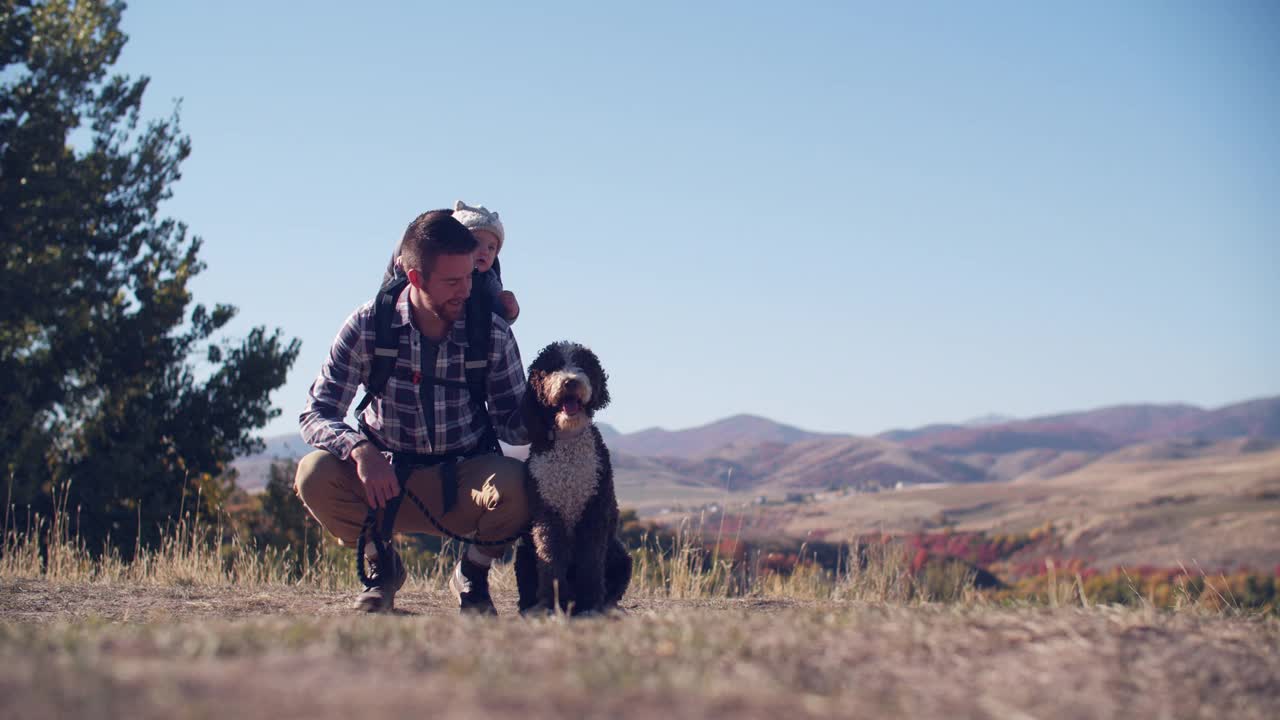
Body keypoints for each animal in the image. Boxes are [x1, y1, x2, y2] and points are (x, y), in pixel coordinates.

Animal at [517, 340, 632, 609]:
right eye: (553, 366)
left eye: (582, 364)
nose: (570, 381)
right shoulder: (547, 511)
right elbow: (550, 555)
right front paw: (553, 601)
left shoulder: (594, 508)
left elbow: (590, 561)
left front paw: (590, 602)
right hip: (523, 553)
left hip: (619, 553)